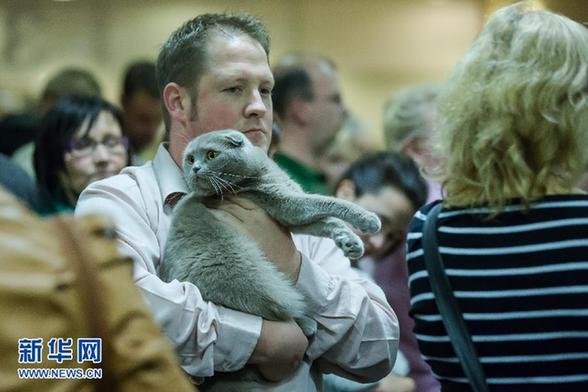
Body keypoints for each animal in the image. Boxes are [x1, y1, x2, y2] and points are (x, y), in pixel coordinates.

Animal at [161, 130, 382, 390]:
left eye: (211, 155)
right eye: (190, 159)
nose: (195, 168)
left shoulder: (290, 213)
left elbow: (326, 221)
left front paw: (351, 242)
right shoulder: (285, 202)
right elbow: (326, 203)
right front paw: (367, 218)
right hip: (240, 267)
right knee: (273, 307)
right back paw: (306, 323)